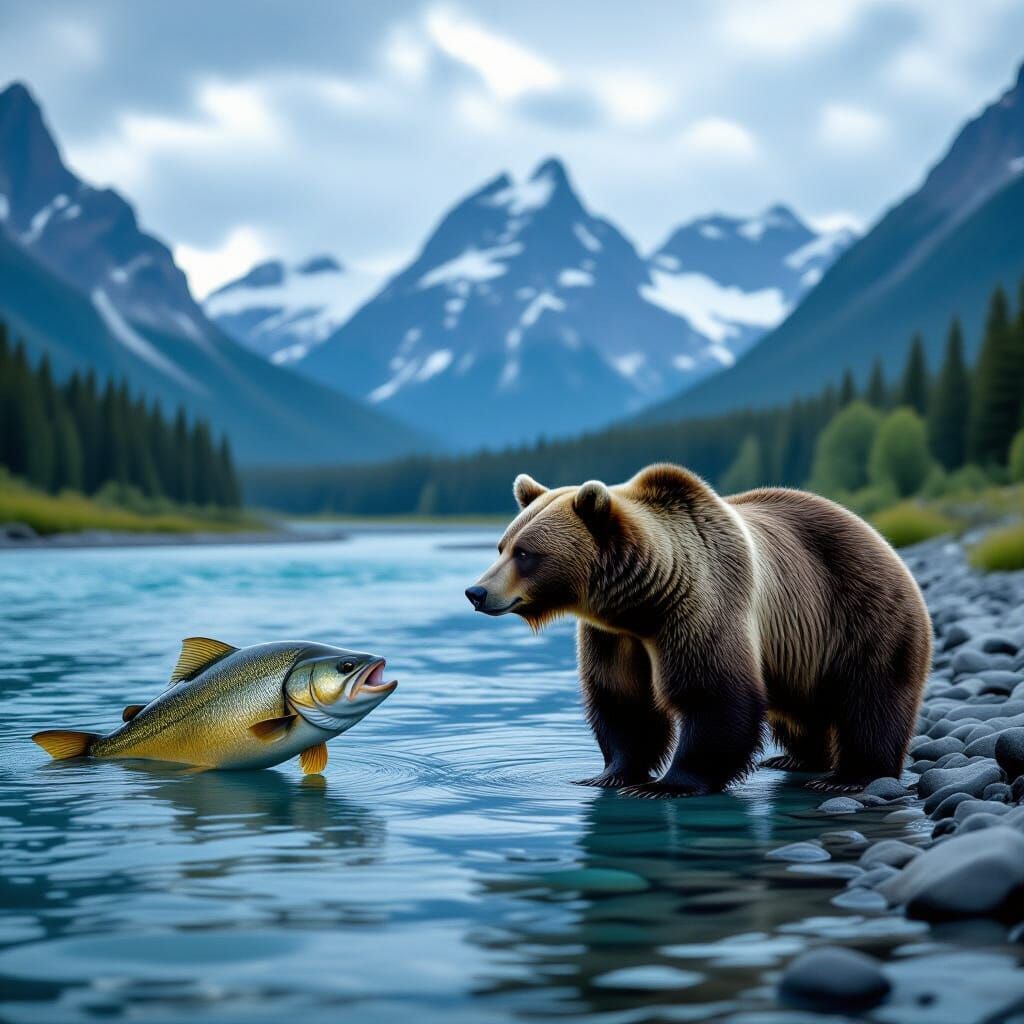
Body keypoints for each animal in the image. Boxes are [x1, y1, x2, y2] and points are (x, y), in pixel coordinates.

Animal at [465, 463, 931, 798]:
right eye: (502, 546)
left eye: (526, 553)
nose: (476, 591)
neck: (641, 604)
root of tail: (883, 540)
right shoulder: (614, 636)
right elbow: (622, 701)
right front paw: (610, 774)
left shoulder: (702, 607)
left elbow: (712, 695)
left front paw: (667, 784)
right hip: (800, 651)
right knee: (800, 708)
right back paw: (796, 760)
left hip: (860, 615)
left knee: (871, 698)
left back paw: (850, 775)